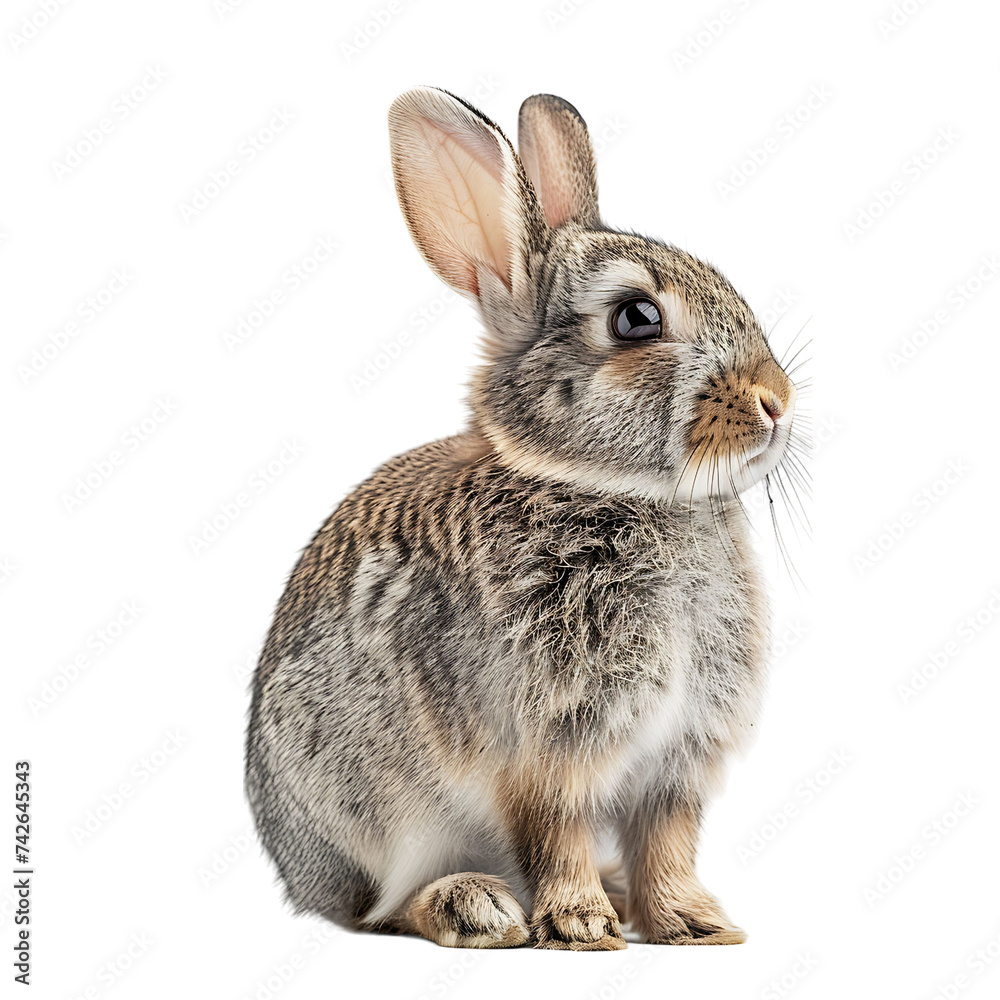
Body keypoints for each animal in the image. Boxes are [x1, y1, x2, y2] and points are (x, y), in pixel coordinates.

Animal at [244, 87, 798, 951]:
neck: (621, 491)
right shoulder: (547, 746)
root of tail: (300, 869)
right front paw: (582, 926)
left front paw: (696, 924)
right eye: (636, 318)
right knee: (381, 909)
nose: (777, 400)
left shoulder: (677, 759)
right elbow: (554, 830)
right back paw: (477, 907)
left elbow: (668, 840)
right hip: (382, 822)